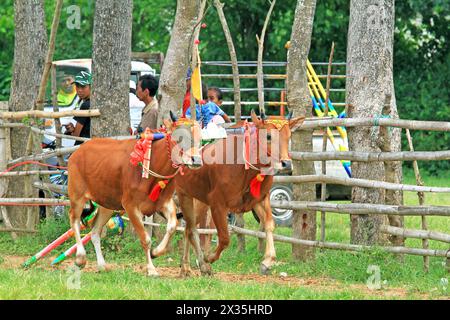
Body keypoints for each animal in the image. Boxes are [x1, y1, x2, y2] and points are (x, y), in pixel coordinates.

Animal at [67, 121, 200, 276]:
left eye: (199, 138)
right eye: (178, 138)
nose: (196, 159)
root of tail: (77, 152)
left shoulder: (164, 202)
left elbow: (172, 226)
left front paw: (156, 252)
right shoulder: (131, 206)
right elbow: (145, 239)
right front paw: (151, 269)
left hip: (107, 205)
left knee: (95, 231)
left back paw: (101, 265)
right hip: (77, 196)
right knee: (74, 221)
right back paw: (80, 258)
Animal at [174, 110, 304, 276]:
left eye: (289, 135)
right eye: (268, 136)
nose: (286, 163)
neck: (244, 166)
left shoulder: (260, 199)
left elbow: (269, 224)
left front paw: (267, 261)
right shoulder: (218, 205)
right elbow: (224, 238)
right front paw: (209, 257)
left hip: (201, 204)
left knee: (189, 229)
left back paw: (194, 267)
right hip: (189, 198)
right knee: (189, 229)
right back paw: (190, 266)